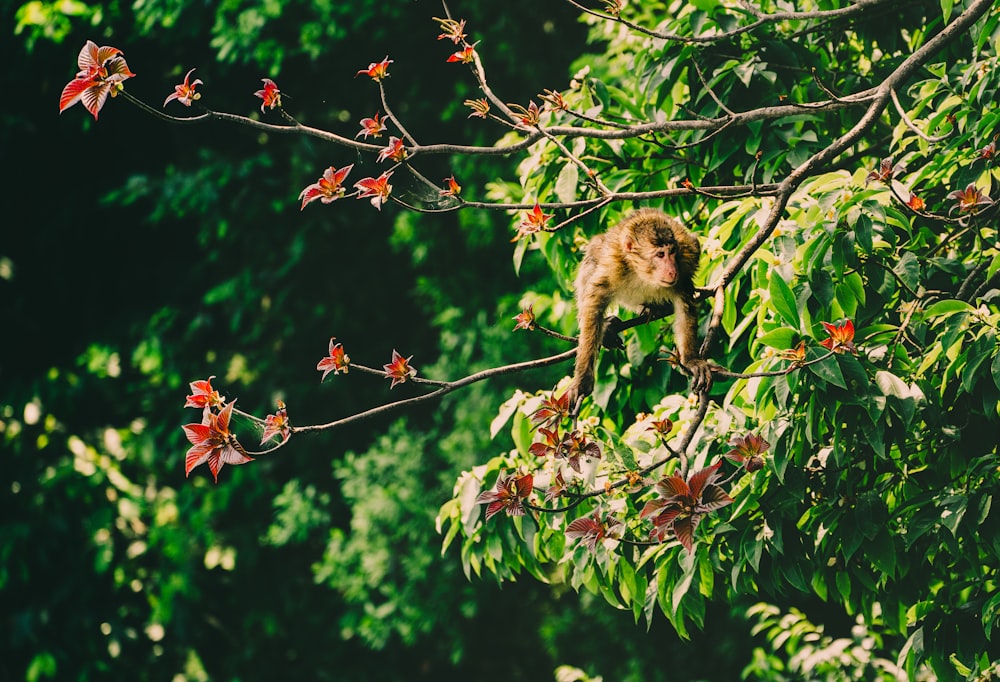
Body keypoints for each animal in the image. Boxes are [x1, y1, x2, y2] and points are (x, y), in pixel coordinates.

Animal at [568, 207, 716, 406]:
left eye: (672, 252)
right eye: (660, 255)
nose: (672, 270)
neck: (643, 273)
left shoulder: (684, 262)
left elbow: (685, 306)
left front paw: (692, 360)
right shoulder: (612, 267)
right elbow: (593, 306)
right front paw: (582, 381)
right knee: (592, 255)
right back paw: (609, 327)